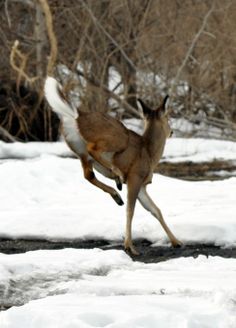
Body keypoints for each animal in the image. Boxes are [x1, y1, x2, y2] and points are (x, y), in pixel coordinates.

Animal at [44, 76, 182, 254]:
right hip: (118, 138)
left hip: (78, 150)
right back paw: (116, 175)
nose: (172, 131)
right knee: (93, 149)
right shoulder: (135, 177)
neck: (149, 152)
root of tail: (77, 116)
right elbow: (131, 210)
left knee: (88, 174)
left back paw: (117, 194)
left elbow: (155, 210)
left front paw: (177, 242)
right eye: (168, 118)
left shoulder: (142, 185)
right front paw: (129, 246)